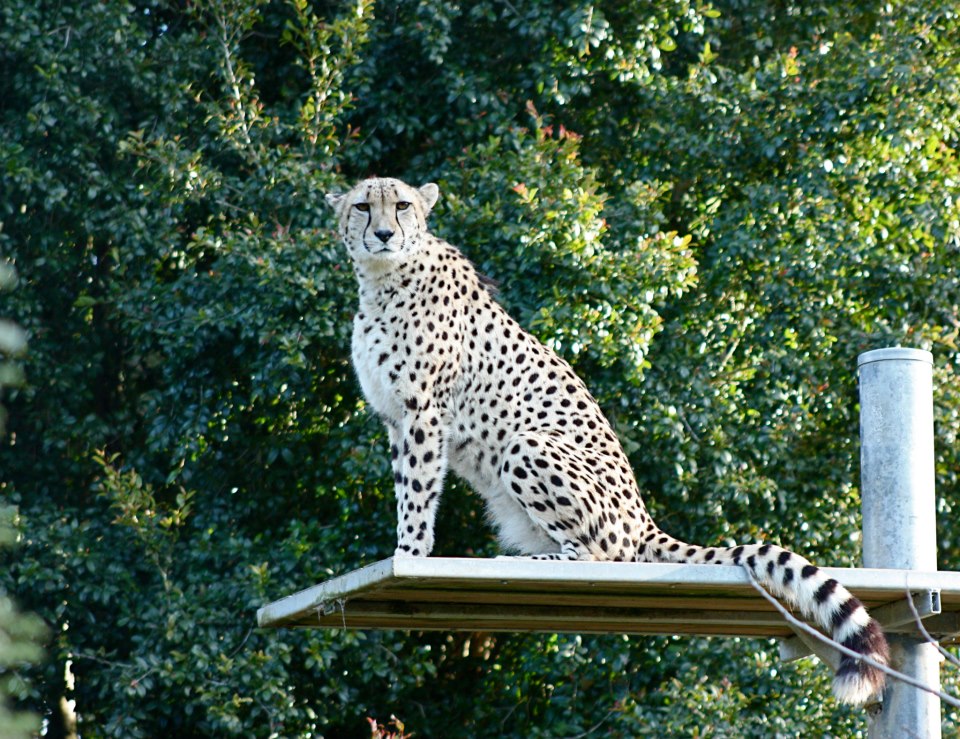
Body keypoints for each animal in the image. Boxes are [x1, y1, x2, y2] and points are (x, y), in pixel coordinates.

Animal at [326, 175, 888, 704]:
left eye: (402, 206)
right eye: (363, 206)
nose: (383, 234)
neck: (383, 281)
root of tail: (644, 519)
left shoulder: (424, 411)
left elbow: (419, 493)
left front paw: (409, 553)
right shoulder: (396, 418)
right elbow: (406, 487)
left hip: (528, 447)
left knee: (606, 554)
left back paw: (533, 561)